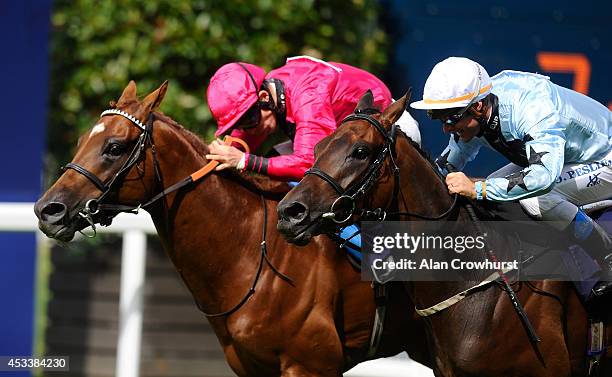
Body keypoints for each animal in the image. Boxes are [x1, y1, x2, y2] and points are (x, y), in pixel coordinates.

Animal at [33, 81, 430, 376]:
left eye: (115, 147)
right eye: (82, 141)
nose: (47, 210)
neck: (253, 254)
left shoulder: (311, 365)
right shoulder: (250, 367)